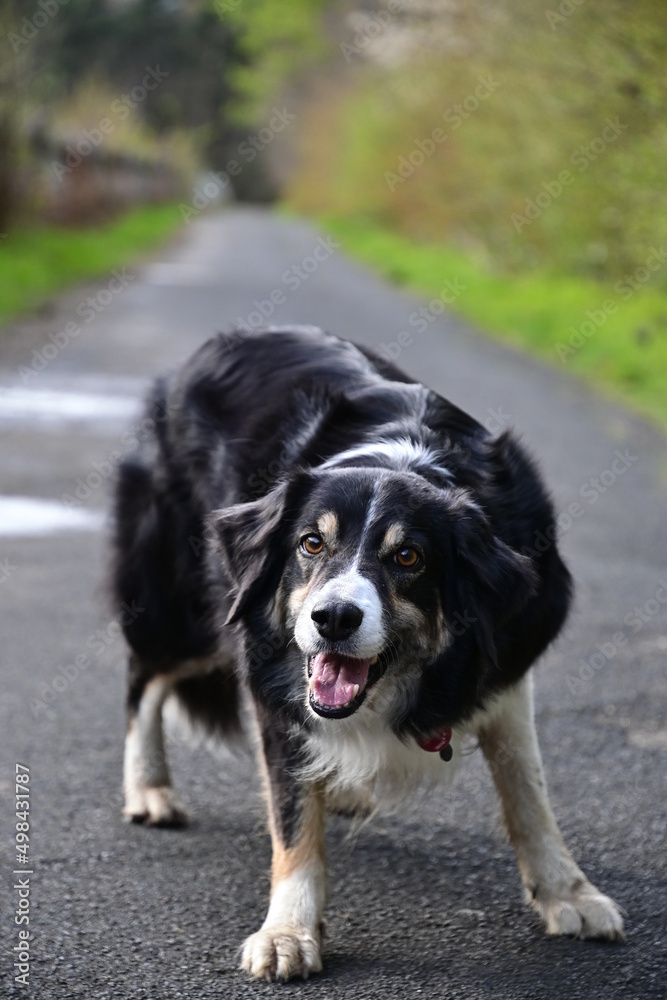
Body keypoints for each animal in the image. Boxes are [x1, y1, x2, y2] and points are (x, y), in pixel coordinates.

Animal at [112, 324, 624, 980]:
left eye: (408, 558)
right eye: (311, 543)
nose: (333, 618)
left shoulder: (506, 664)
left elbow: (528, 791)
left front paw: (569, 893)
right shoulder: (274, 674)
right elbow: (292, 819)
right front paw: (288, 931)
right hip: (185, 606)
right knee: (144, 676)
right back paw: (149, 789)